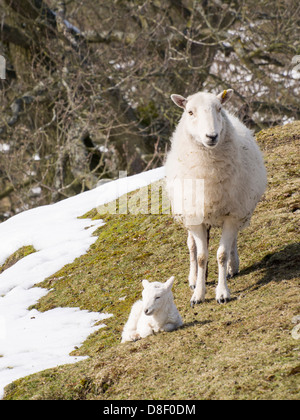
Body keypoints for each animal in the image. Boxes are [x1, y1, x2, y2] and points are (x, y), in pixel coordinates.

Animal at [164, 89, 268, 306]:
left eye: (219, 108)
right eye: (190, 112)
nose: (211, 136)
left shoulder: (232, 214)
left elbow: (222, 254)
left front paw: (222, 292)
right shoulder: (195, 218)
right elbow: (201, 257)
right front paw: (198, 294)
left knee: (231, 242)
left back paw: (232, 267)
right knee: (192, 247)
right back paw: (194, 278)